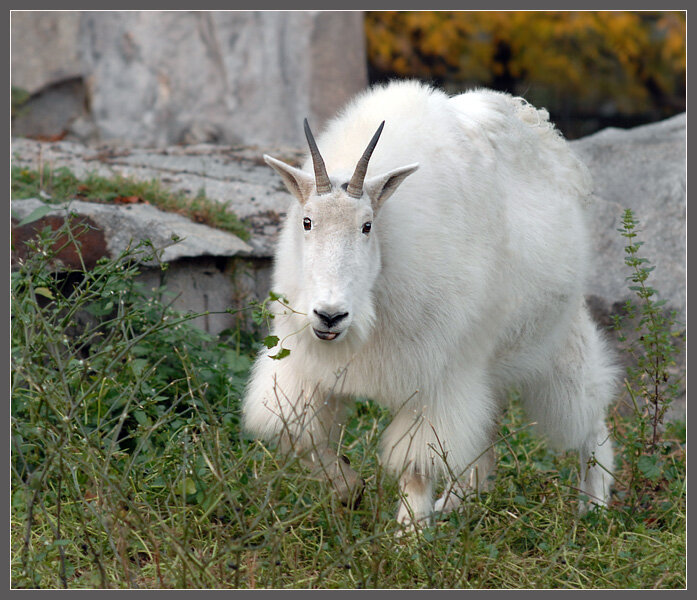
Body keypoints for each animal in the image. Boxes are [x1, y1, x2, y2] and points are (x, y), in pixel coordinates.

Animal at [242, 78, 616, 524]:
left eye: (367, 226)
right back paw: (458, 504)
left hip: (555, 336)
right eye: (307, 221)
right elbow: (297, 434)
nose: (330, 316)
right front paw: (351, 490)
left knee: (588, 411)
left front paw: (410, 533)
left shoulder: (434, 379)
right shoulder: (304, 367)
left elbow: (417, 464)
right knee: (487, 427)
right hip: (486, 361)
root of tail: (547, 133)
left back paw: (594, 506)